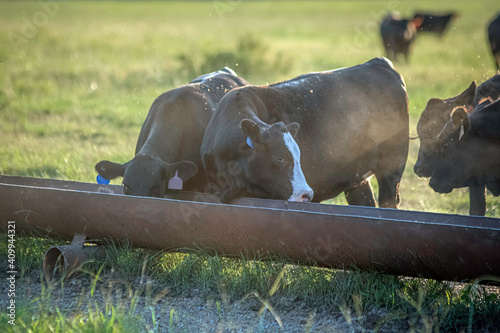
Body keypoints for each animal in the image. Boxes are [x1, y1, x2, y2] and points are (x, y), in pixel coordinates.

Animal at [201, 57, 408, 208]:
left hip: (392, 167)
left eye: (298, 157)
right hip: (357, 180)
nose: (306, 194)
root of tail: (378, 62)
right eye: (280, 158)